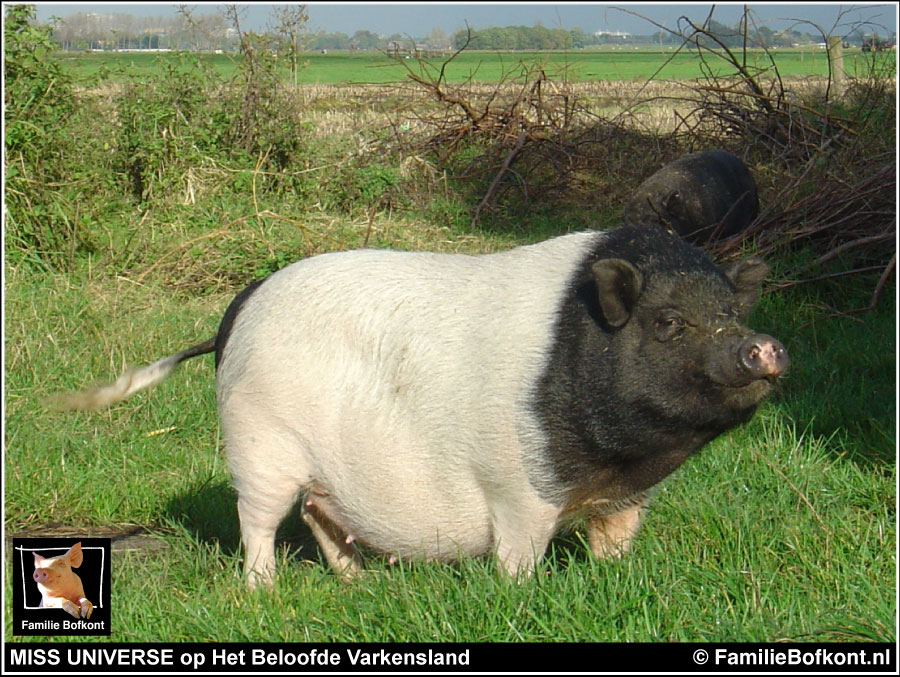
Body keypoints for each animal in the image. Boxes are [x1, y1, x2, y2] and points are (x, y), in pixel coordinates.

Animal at [52, 226, 788, 588]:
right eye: (668, 323)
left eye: (728, 312)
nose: (764, 346)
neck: (612, 464)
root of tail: (235, 314)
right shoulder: (516, 488)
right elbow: (519, 554)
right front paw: (521, 594)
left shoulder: (628, 496)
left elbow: (617, 541)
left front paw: (618, 580)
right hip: (258, 444)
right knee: (257, 520)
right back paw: (264, 591)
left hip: (320, 468)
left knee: (319, 514)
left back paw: (355, 583)